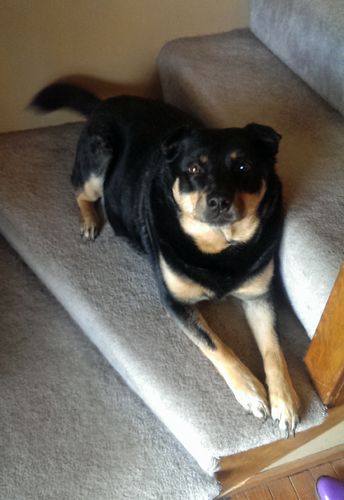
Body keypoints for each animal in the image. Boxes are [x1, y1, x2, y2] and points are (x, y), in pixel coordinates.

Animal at [33, 82, 300, 434]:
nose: (218, 201)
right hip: (98, 162)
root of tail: (105, 102)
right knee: (79, 189)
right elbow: (216, 345)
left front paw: (285, 401)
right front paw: (252, 393)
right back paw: (89, 219)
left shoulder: (259, 296)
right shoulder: (176, 302)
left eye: (243, 167)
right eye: (194, 169)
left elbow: (274, 349)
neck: (220, 247)